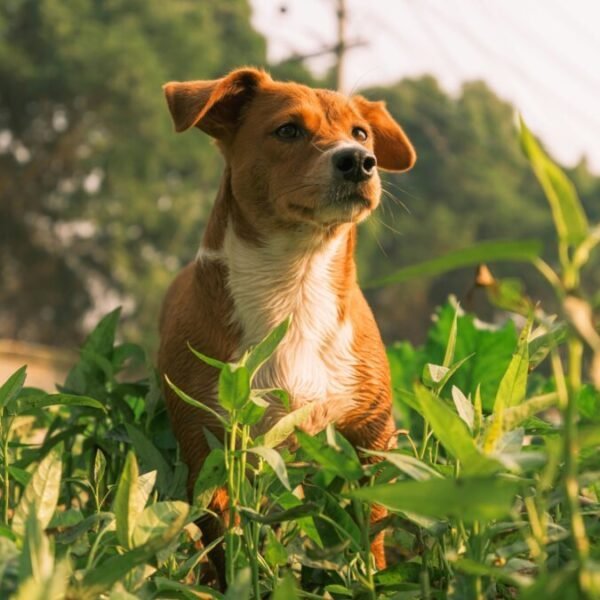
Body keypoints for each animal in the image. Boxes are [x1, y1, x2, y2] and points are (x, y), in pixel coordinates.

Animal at [157, 68, 414, 584]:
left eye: (361, 133)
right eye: (288, 130)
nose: (360, 162)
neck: (296, 285)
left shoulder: (371, 430)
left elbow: (371, 526)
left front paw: (371, 578)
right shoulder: (209, 441)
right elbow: (227, 538)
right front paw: (235, 581)